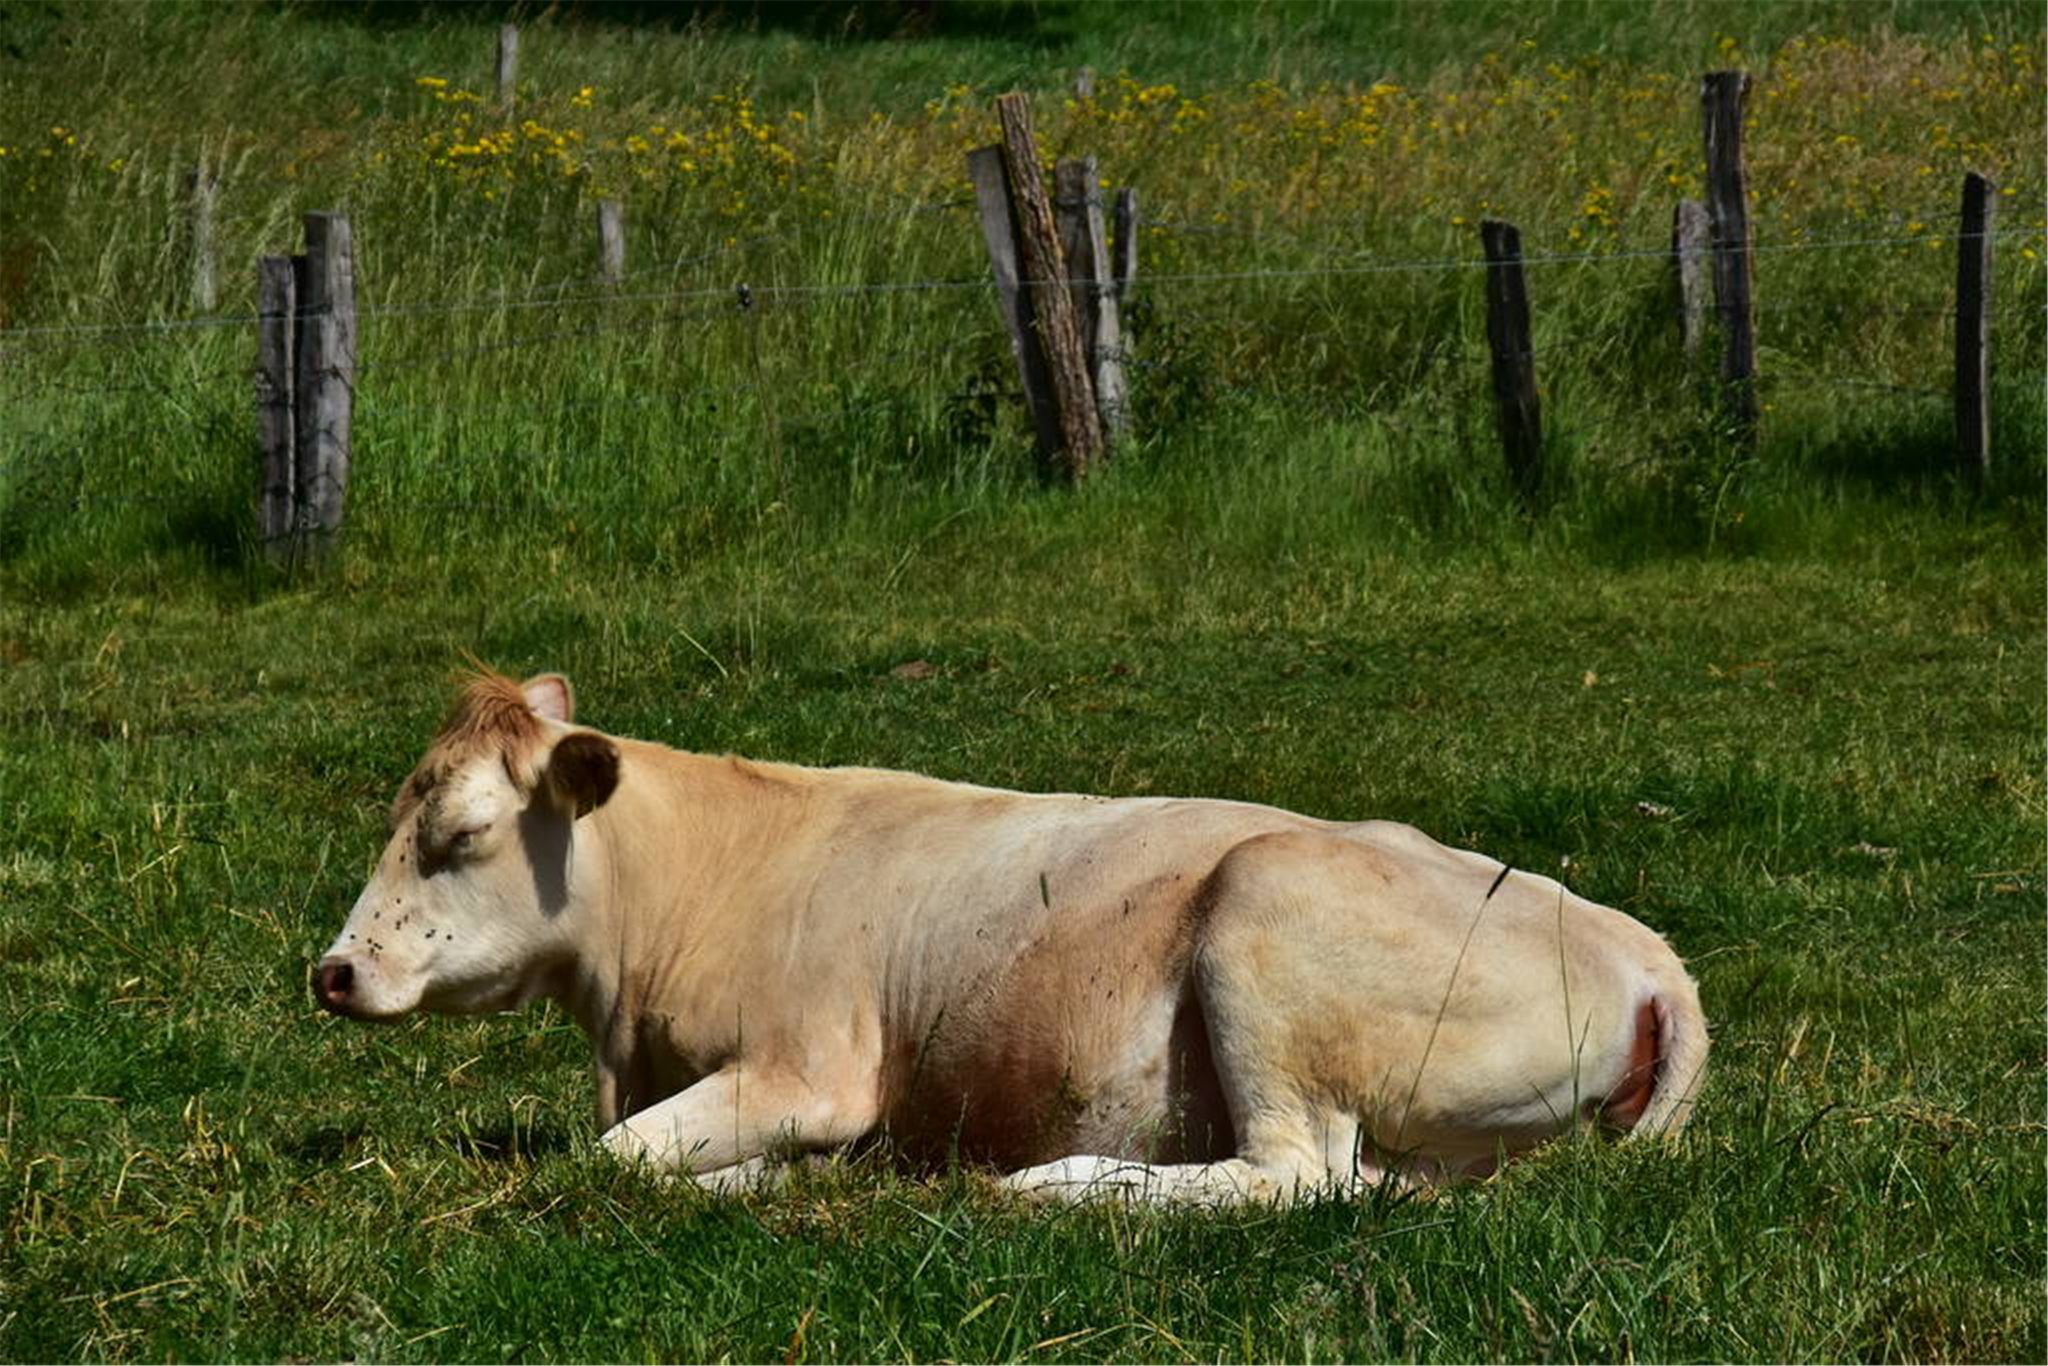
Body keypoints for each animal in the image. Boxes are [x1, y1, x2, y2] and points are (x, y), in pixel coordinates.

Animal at [311, 667, 1703, 1204]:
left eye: (459, 833)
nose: (332, 971)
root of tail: (1639, 948)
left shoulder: (809, 1068)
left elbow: (615, 1160)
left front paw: (771, 1178)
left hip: (1267, 918)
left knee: (1293, 1173)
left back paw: (1055, 1187)